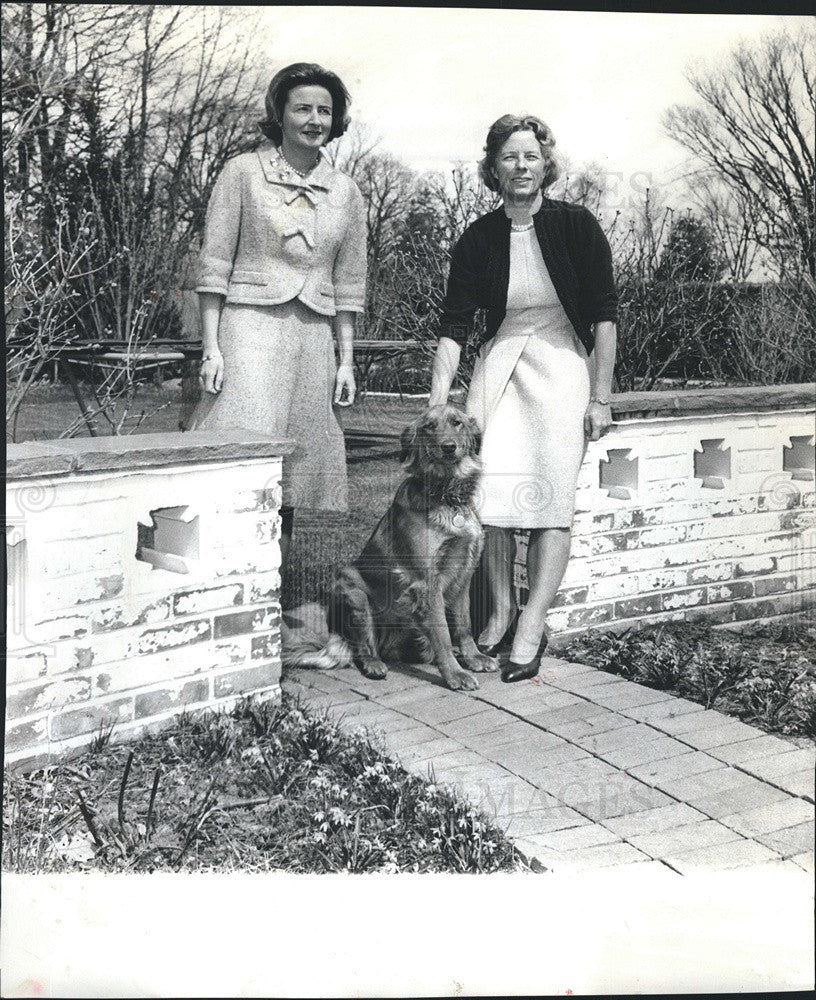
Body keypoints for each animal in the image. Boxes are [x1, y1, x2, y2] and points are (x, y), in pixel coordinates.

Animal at [280, 402, 498, 692]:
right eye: (429, 426)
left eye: (457, 423)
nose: (449, 447)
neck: (446, 496)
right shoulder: (427, 583)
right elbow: (442, 632)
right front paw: (454, 674)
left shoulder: (463, 575)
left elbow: (464, 624)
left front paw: (473, 658)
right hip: (351, 586)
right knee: (364, 647)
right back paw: (373, 664)